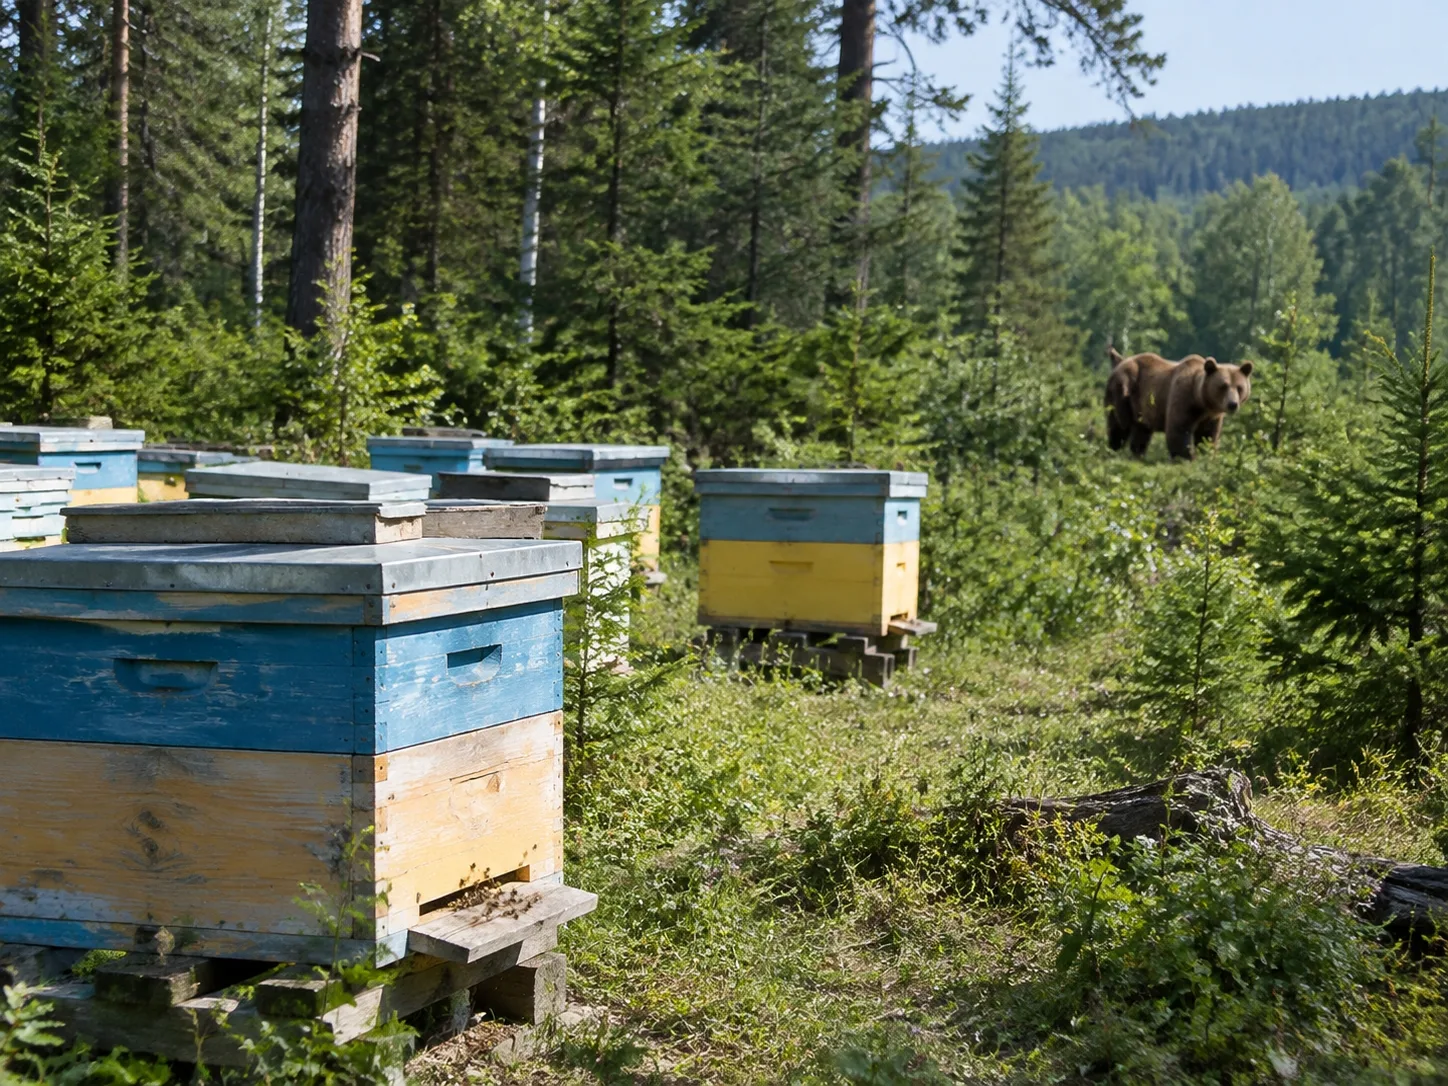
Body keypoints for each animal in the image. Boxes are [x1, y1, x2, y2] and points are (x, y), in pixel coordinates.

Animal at [1104, 347, 1254, 460]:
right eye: (1223, 386)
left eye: (1239, 387)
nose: (1232, 404)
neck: (1201, 400)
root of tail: (1120, 361)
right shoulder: (1183, 397)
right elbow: (1178, 429)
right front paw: (1188, 458)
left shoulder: (1211, 416)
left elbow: (1207, 435)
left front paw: (1207, 454)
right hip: (1122, 392)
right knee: (1118, 427)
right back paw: (1113, 450)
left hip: (1141, 406)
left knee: (1142, 431)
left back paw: (1138, 454)